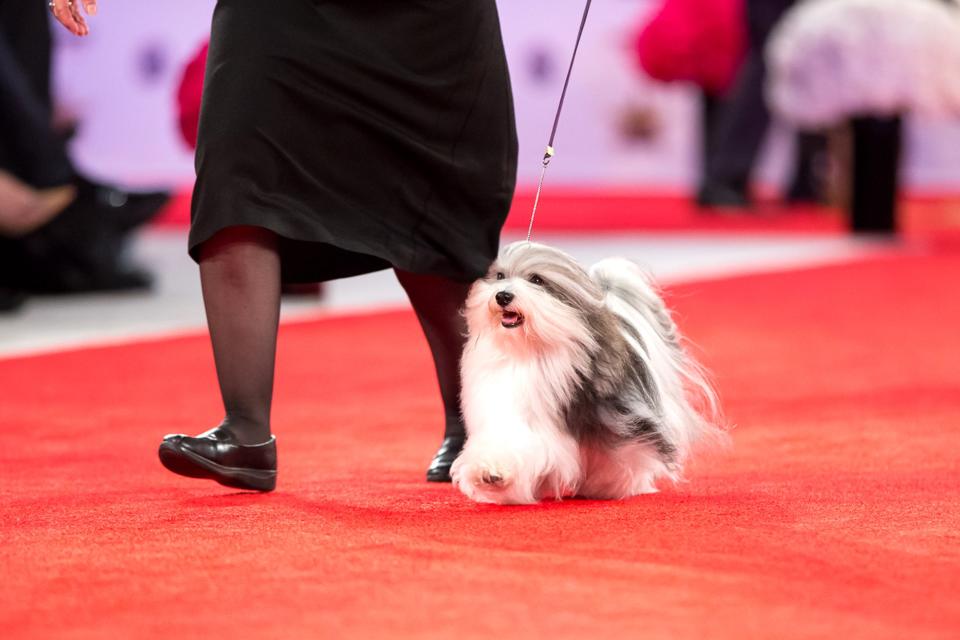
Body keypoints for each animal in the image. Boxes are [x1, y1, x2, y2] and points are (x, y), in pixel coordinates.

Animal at [454, 241, 724, 504]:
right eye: (500, 276)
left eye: (536, 280)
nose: (503, 295)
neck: (530, 352)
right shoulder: (507, 406)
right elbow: (507, 439)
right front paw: (490, 472)